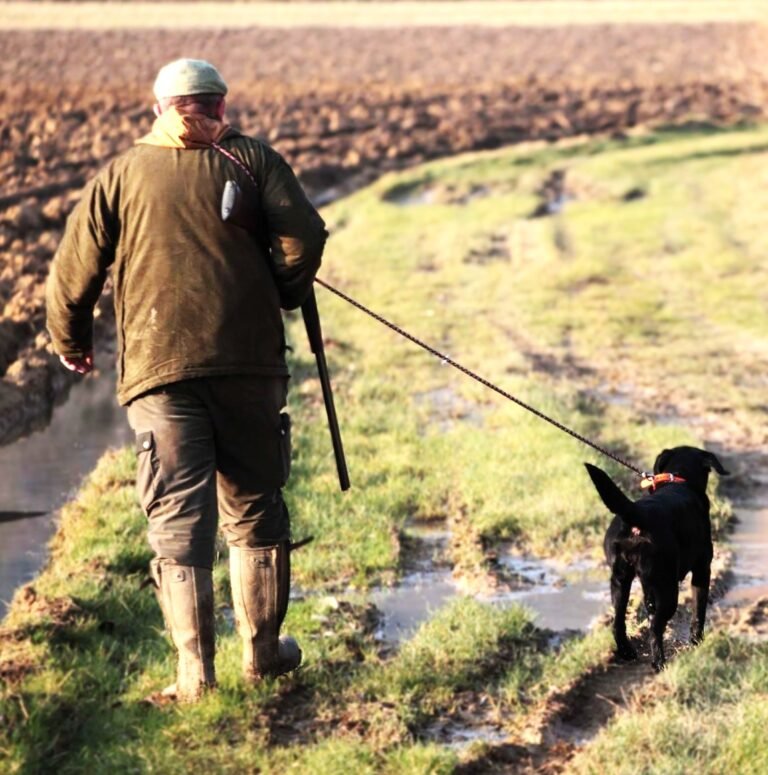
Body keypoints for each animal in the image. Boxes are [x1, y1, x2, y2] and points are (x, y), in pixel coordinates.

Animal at [584, 448, 728, 672]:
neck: (679, 479)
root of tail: (636, 514)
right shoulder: (703, 569)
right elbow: (699, 610)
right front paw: (697, 642)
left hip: (620, 581)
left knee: (618, 623)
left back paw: (627, 651)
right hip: (668, 587)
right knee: (655, 628)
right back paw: (659, 664)